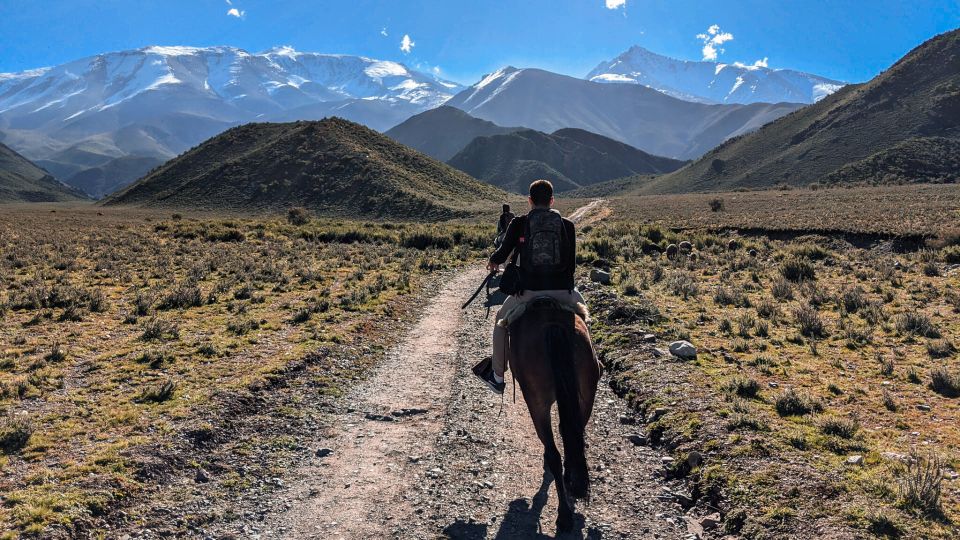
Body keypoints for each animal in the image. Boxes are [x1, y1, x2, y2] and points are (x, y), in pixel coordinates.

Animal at [510, 300, 600, 532]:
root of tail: (553, 327)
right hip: (586, 394)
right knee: (574, 436)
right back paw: (572, 480)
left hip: (535, 401)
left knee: (553, 453)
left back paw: (564, 515)